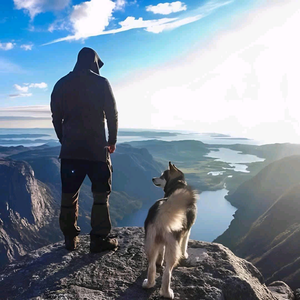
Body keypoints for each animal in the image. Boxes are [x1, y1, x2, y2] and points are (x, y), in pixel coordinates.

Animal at [142, 163, 197, 298]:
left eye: (162, 175)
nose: (152, 178)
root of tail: (163, 211)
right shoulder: (187, 231)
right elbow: (184, 245)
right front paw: (185, 255)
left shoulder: (161, 242)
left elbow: (160, 254)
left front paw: (159, 261)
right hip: (172, 246)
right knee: (167, 273)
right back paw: (167, 293)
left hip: (151, 242)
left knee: (151, 267)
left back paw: (148, 283)